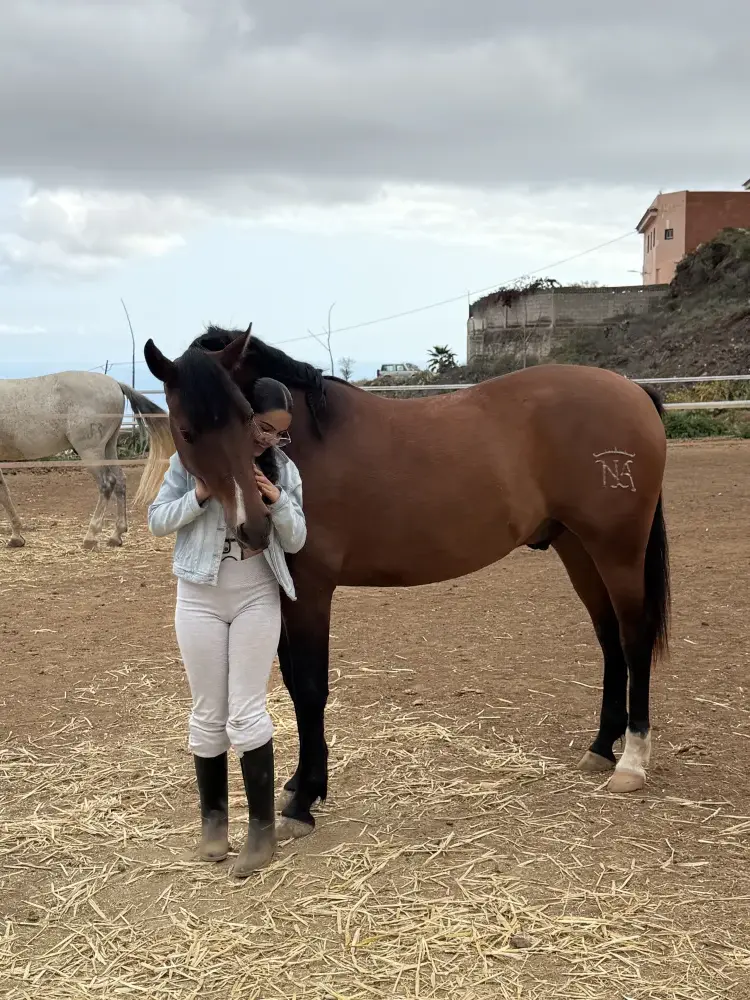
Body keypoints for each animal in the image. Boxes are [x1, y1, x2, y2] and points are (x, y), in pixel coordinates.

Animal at [0, 371, 172, 549]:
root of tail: (116, 384)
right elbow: (4, 493)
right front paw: (16, 537)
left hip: (91, 452)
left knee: (107, 483)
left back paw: (91, 537)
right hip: (109, 448)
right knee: (120, 481)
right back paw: (116, 536)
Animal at [138, 326, 670, 839]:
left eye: (246, 417)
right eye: (186, 429)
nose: (254, 526)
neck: (301, 439)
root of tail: (634, 391)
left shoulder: (311, 590)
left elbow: (309, 687)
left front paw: (303, 800)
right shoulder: (286, 591)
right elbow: (292, 682)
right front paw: (301, 782)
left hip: (617, 551)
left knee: (634, 638)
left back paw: (632, 761)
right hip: (577, 548)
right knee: (609, 638)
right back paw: (601, 747)